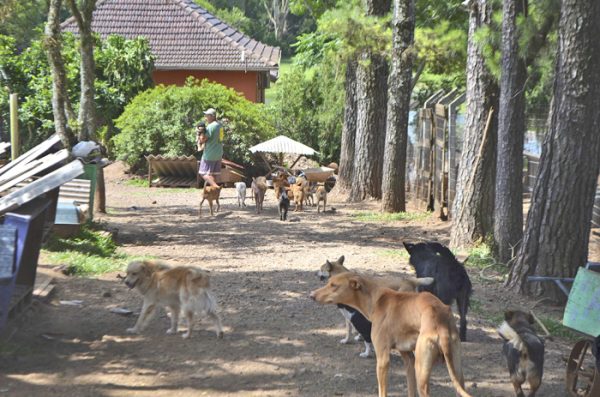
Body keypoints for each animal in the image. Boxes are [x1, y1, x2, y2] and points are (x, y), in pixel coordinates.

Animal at [312, 270, 472, 396]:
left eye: (334, 285)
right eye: (328, 282)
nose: (311, 295)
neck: (376, 300)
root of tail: (441, 323)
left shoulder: (383, 360)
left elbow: (382, 391)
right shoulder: (408, 359)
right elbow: (410, 390)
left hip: (422, 375)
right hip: (457, 372)